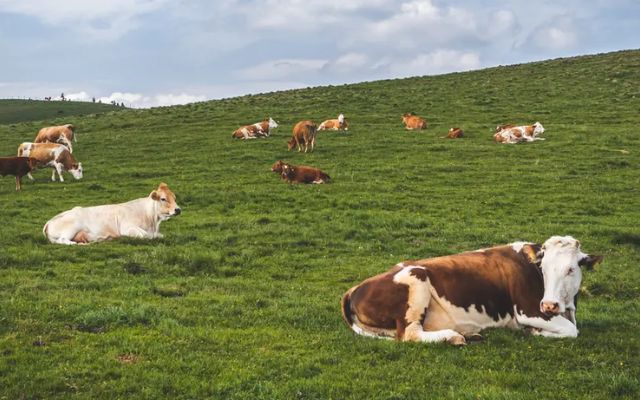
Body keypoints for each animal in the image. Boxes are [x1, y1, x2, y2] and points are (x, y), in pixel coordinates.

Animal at [44, 182, 180, 244]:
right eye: (163, 199)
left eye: (174, 197)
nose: (178, 209)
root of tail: (50, 221)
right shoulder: (128, 228)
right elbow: (146, 236)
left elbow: (160, 235)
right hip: (71, 228)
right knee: (63, 241)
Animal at [342, 236, 604, 346]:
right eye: (543, 267)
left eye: (571, 269)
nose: (549, 304)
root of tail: (354, 288)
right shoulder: (529, 310)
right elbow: (571, 330)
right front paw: (535, 332)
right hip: (416, 281)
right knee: (410, 334)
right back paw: (454, 337)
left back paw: (470, 335)